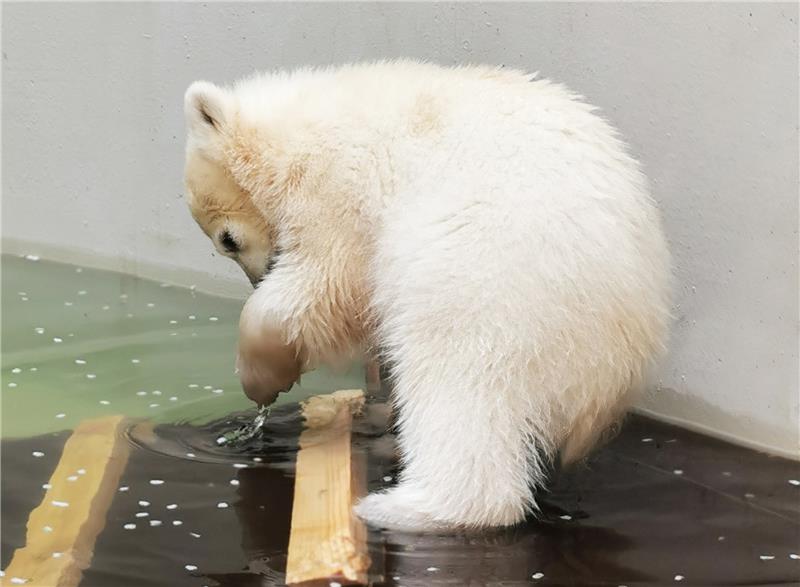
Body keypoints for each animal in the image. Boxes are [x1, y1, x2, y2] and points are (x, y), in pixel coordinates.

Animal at [181, 60, 668, 532]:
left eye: (227, 240)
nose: (257, 278)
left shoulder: (338, 191)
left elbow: (323, 285)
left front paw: (262, 376)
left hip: (492, 285)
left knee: (455, 383)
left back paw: (401, 508)